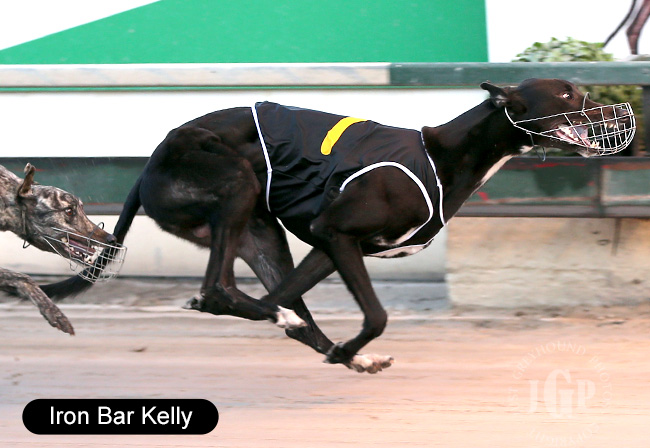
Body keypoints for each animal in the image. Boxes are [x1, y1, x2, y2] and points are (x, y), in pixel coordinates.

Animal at [0, 163, 124, 335]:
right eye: (69, 211)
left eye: (82, 208)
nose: (112, 239)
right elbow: (24, 277)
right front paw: (55, 314)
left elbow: (22, 279)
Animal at [42, 78, 635, 372]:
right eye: (568, 95)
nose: (617, 110)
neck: (444, 154)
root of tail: (147, 165)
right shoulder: (336, 234)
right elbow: (377, 315)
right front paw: (350, 348)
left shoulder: (329, 248)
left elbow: (309, 303)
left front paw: (345, 352)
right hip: (235, 185)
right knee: (220, 289)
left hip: (262, 232)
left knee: (271, 302)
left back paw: (319, 339)